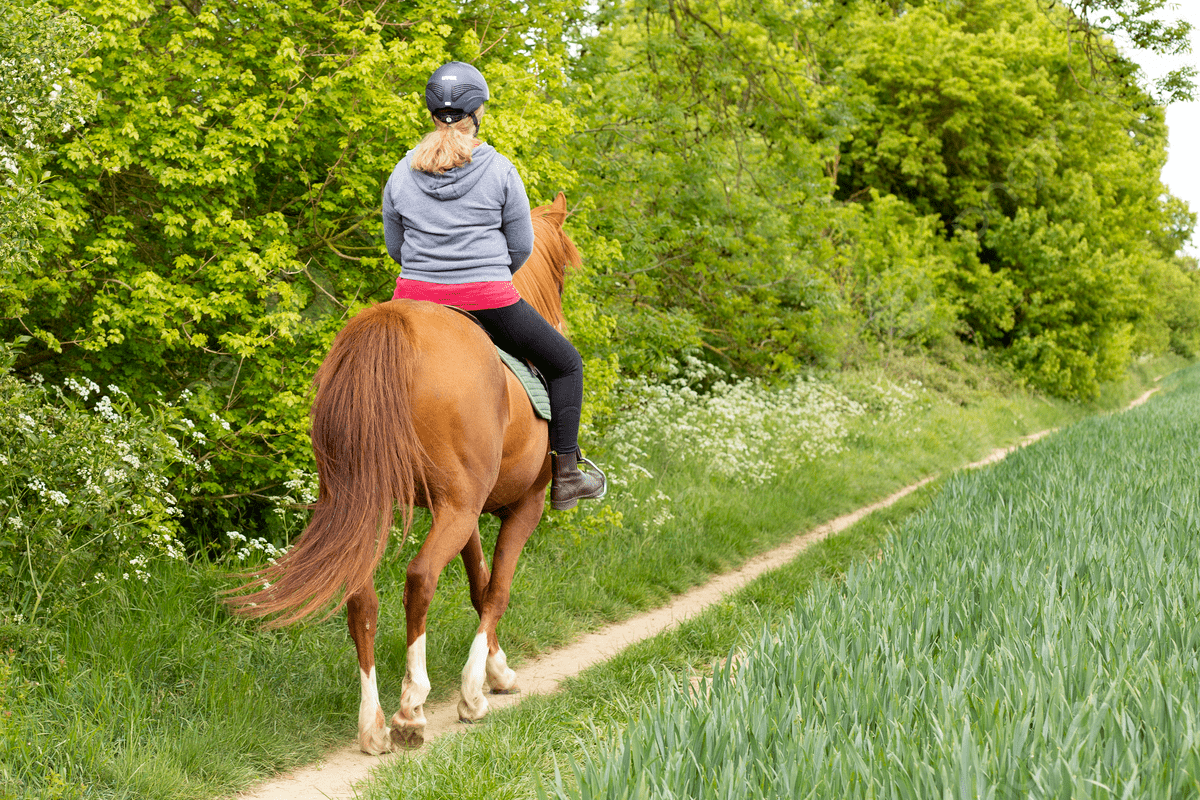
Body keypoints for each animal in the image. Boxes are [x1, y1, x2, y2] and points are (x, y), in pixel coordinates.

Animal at [226, 193, 582, 754]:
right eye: (564, 273)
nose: (562, 325)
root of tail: (392, 326)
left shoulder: (462, 510)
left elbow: (479, 584)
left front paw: (495, 671)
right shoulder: (517, 506)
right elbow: (497, 588)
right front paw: (476, 691)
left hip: (371, 504)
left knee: (361, 597)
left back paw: (372, 724)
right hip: (453, 509)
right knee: (420, 579)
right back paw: (411, 706)